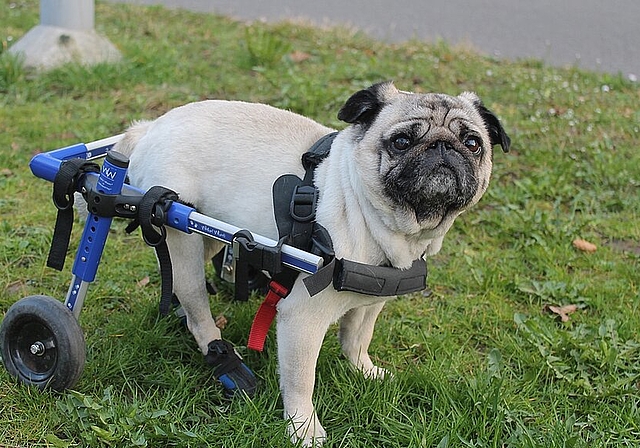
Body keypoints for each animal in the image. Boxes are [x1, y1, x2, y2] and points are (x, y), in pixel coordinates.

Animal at [111, 82, 510, 446]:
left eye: (472, 143)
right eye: (401, 142)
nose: (443, 146)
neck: (377, 220)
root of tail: (149, 128)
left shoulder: (371, 304)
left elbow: (356, 339)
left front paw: (364, 371)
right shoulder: (302, 319)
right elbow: (302, 380)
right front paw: (303, 429)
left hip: (207, 232)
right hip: (182, 239)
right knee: (196, 307)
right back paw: (221, 354)